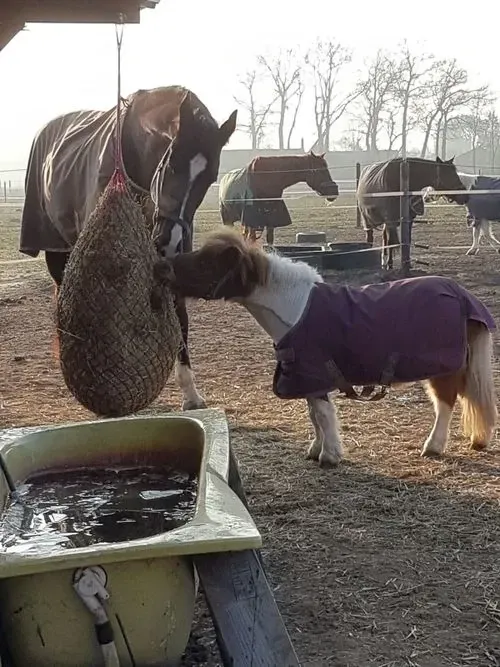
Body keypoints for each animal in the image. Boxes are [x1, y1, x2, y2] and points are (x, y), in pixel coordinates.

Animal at [19, 85, 237, 411]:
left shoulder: (171, 265)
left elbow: (180, 318)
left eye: (210, 178)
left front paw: (191, 393)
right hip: (57, 253)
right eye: (171, 165)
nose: (170, 239)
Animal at [170, 229, 497, 468]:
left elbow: (323, 414)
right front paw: (316, 450)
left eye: (206, 263)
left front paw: (329, 456)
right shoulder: (308, 378)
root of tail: (462, 295)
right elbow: (314, 415)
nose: (164, 268)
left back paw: (433, 447)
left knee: (446, 403)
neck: (295, 307)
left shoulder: (315, 374)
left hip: (443, 371)